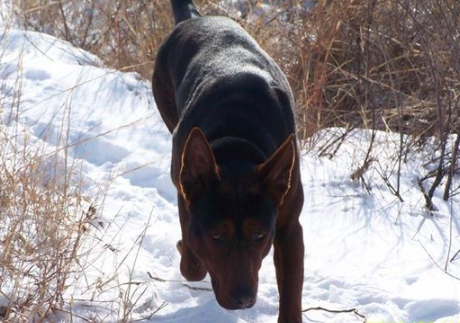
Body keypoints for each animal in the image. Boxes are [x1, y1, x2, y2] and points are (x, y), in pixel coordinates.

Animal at [154, 1, 306, 322]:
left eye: (259, 235)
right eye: (216, 236)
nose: (243, 299)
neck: (238, 146)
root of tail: (193, 18)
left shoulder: (288, 226)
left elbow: (291, 292)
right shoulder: (186, 192)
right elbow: (192, 262)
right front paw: (186, 248)